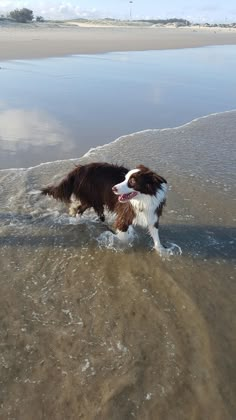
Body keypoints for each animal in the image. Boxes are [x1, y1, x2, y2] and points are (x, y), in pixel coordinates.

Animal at [41, 161, 170, 253]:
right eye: (124, 178)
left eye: (132, 181)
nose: (113, 189)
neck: (143, 199)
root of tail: (79, 169)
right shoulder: (124, 215)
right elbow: (123, 236)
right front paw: (122, 243)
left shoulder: (152, 214)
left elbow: (155, 234)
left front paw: (162, 251)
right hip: (92, 198)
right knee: (82, 210)